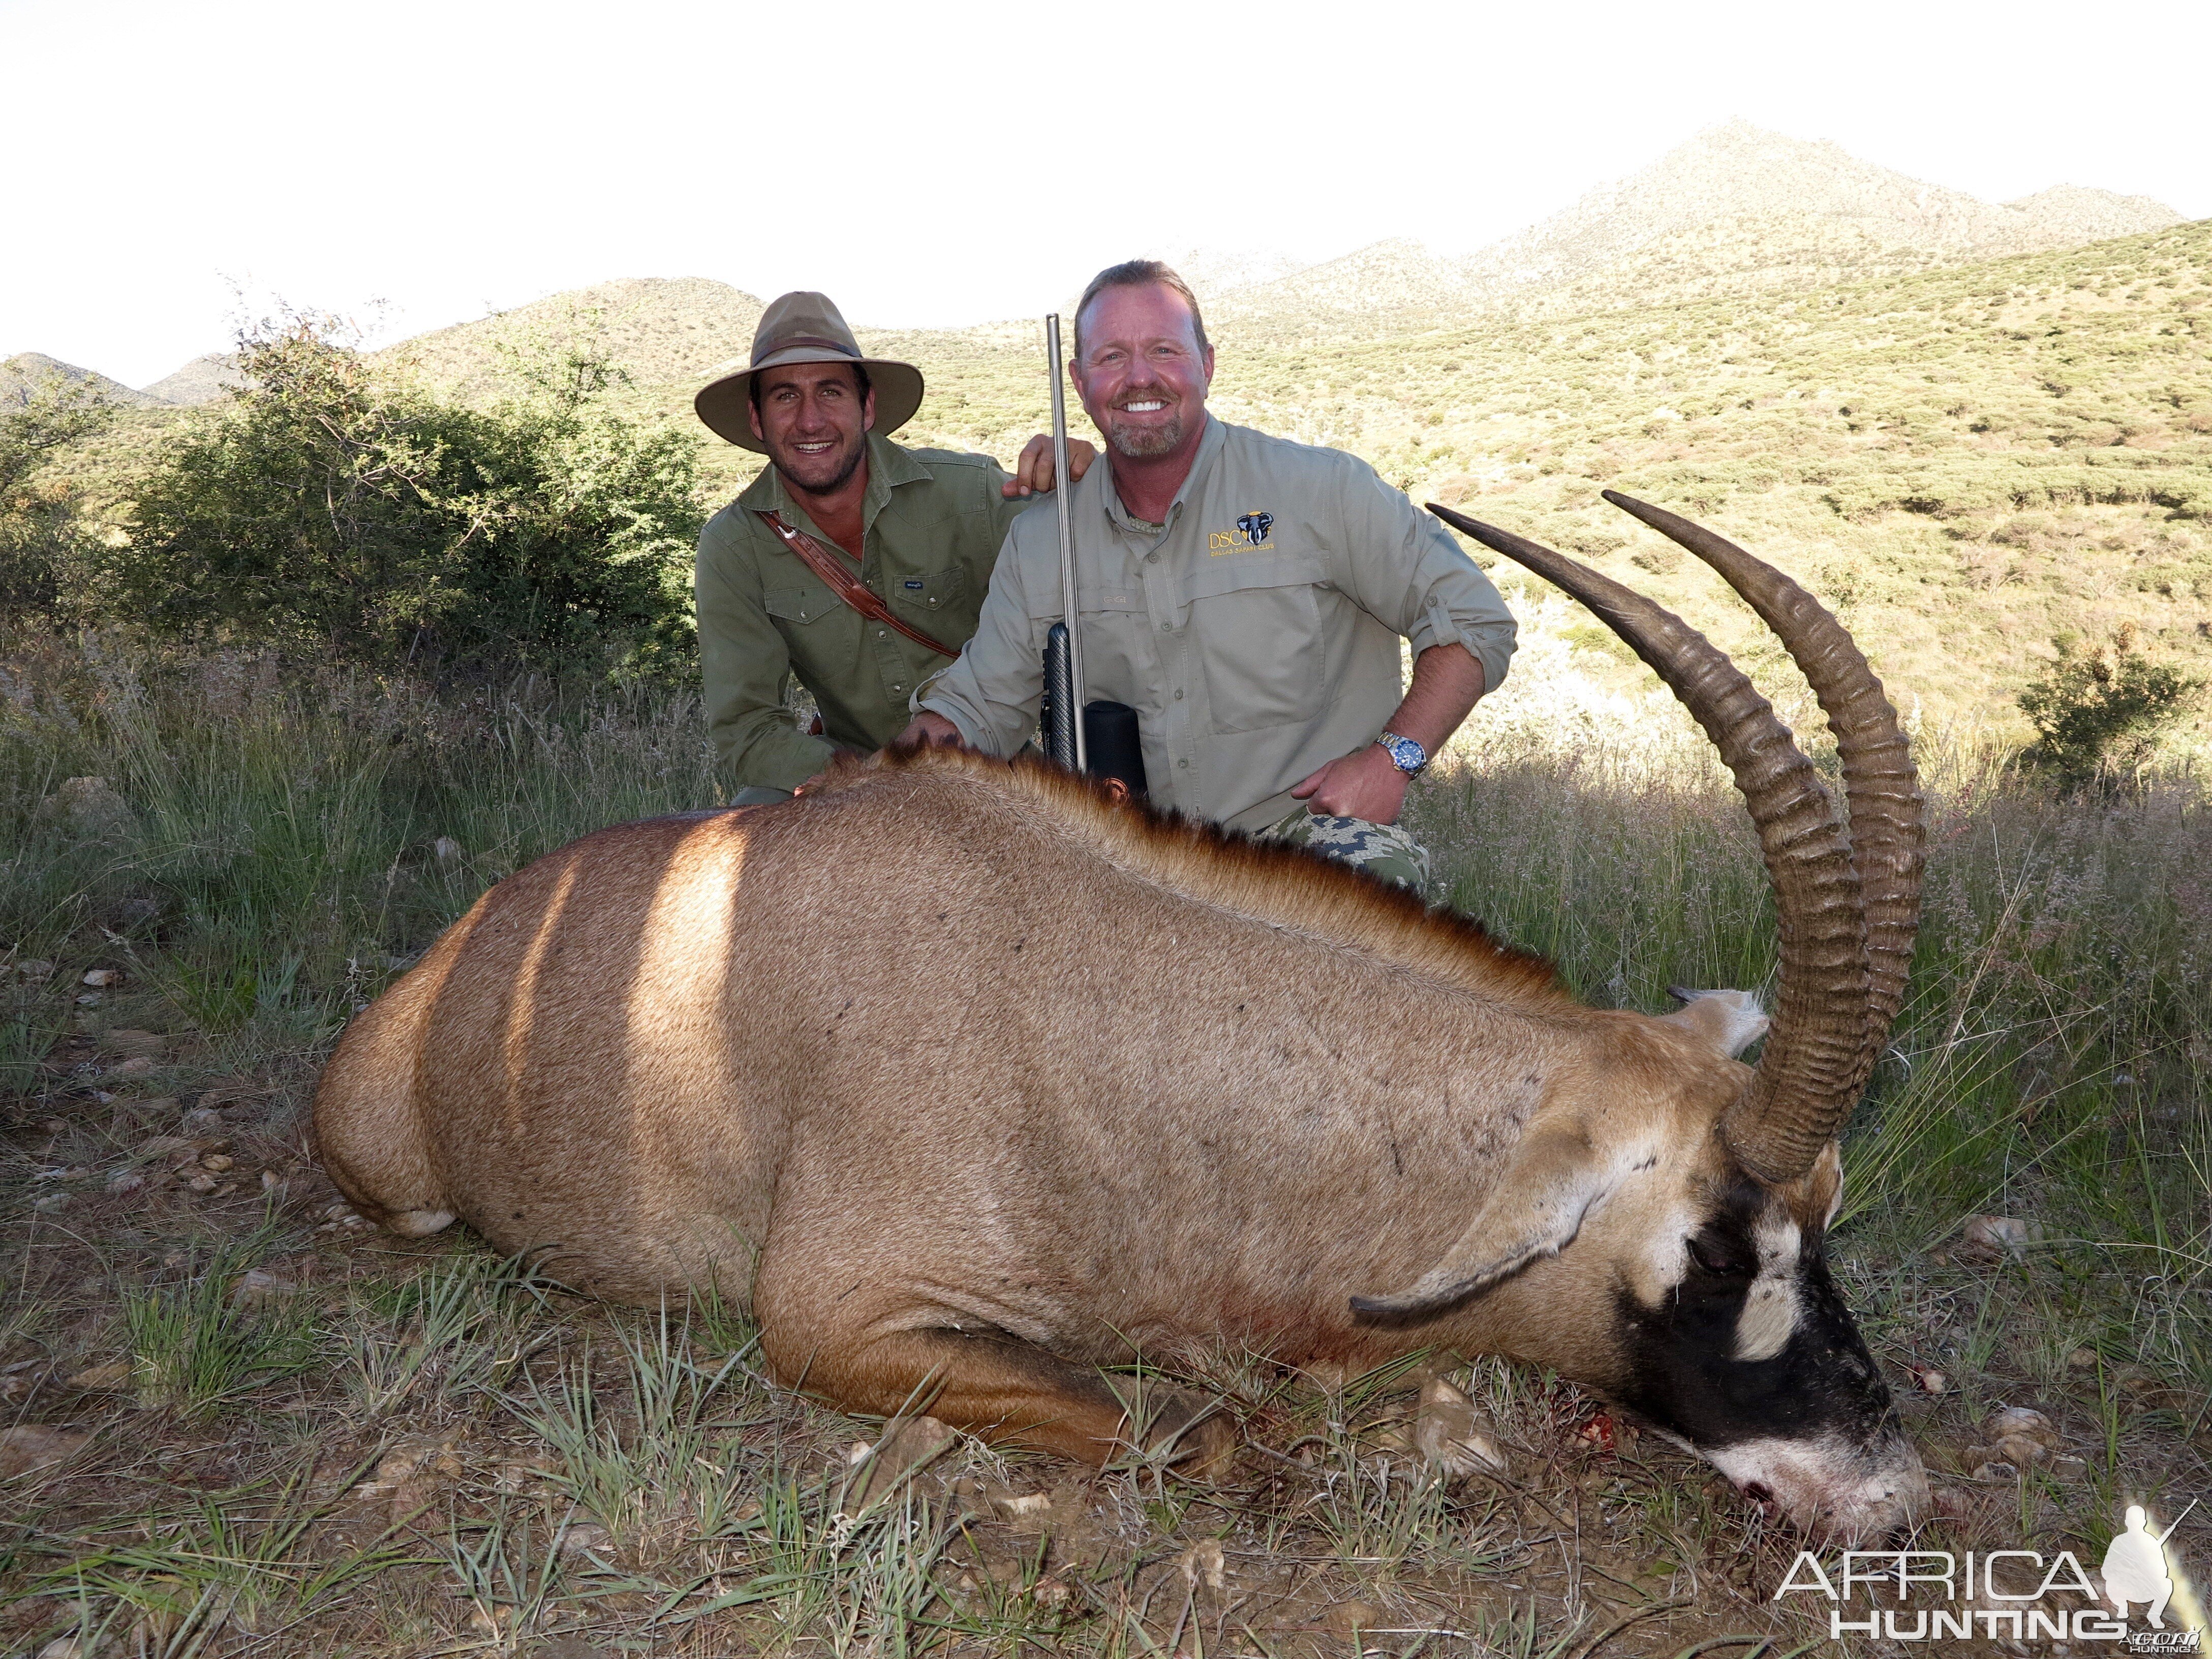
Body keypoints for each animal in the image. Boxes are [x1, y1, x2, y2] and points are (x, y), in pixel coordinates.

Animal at [321, 493, 1928, 1548]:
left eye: (1830, 1212)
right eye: (1717, 1247)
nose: (1893, 1493)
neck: (1096, 1012)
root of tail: (451, 958)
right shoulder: (835, 1317)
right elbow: (1189, 1428)